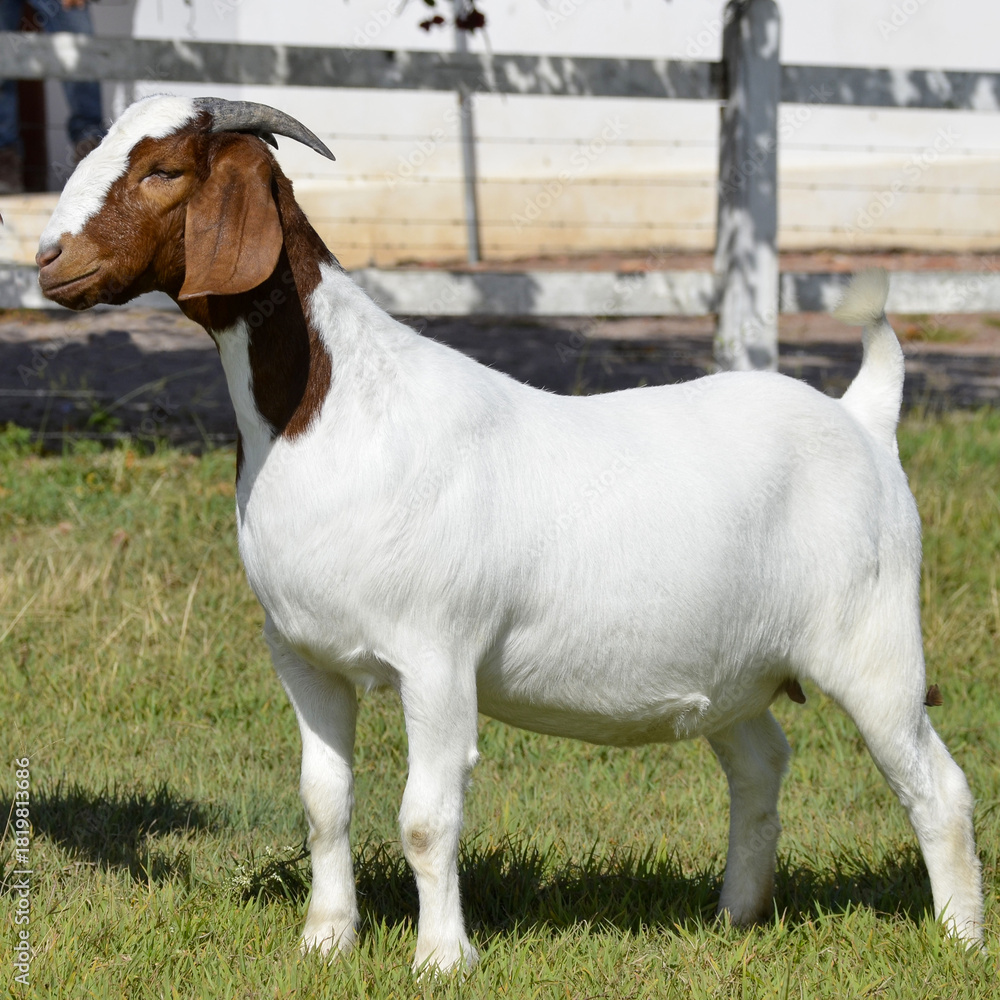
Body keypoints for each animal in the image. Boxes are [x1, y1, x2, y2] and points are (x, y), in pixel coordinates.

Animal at [36, 95, 984, 972]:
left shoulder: (437, 654)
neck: (334, 409)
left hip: (873, 642)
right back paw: (734, 917)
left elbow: (426, 818)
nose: (48, 260)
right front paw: (327, 941)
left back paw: (960, 941)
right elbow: (323, 800)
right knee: (759, 766)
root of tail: (864, 415)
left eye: (163, 170)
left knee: (938, 786)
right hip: (738, 664)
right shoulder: (303, 656)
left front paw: (442, 959)